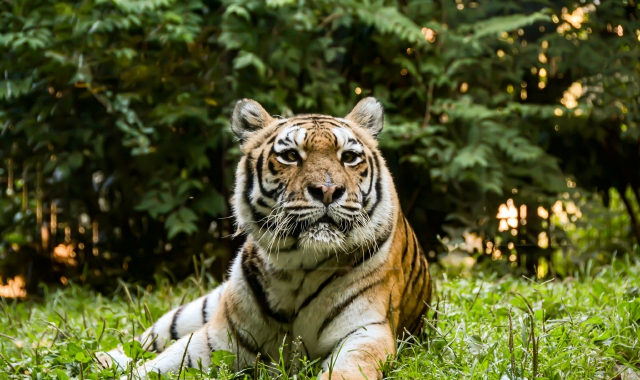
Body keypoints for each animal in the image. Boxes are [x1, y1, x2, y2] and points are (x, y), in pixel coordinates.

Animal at [99, 96, 430, 378]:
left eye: (348, 157)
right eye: (290, 156)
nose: (327, 190)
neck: (300, 268)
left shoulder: (366, 331)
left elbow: (347, 370)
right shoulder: (218, 337)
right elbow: (156, 365)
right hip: (197, 308)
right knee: (148, 338)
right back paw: (107, 357)